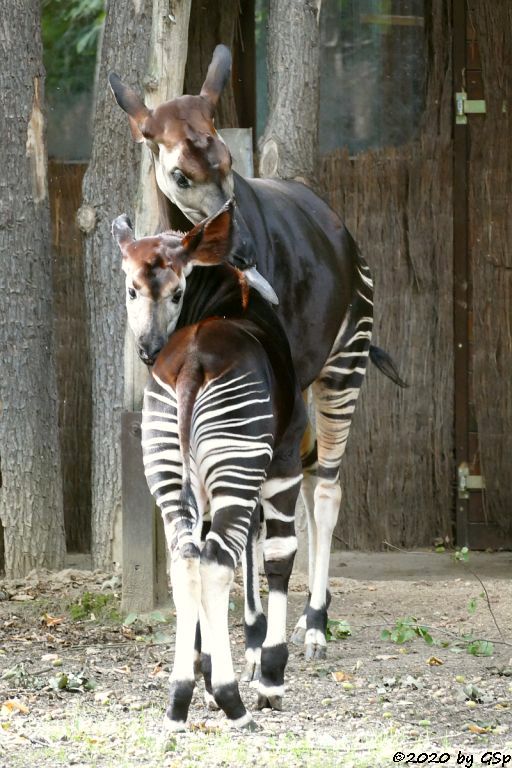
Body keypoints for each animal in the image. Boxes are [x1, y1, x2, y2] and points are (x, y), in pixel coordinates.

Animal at [114, 201, 306, 728]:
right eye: (132, 289)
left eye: (176, 291)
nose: (148, 349)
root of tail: (193, 363)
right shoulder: (285, 459)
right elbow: (278, 554)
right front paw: (269, 678)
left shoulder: (198, 483)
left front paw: (204, 672)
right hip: (240, 467)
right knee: (219, 560)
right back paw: (234, 700)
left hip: (167, 468)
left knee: (186, 559)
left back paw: (179, 699)